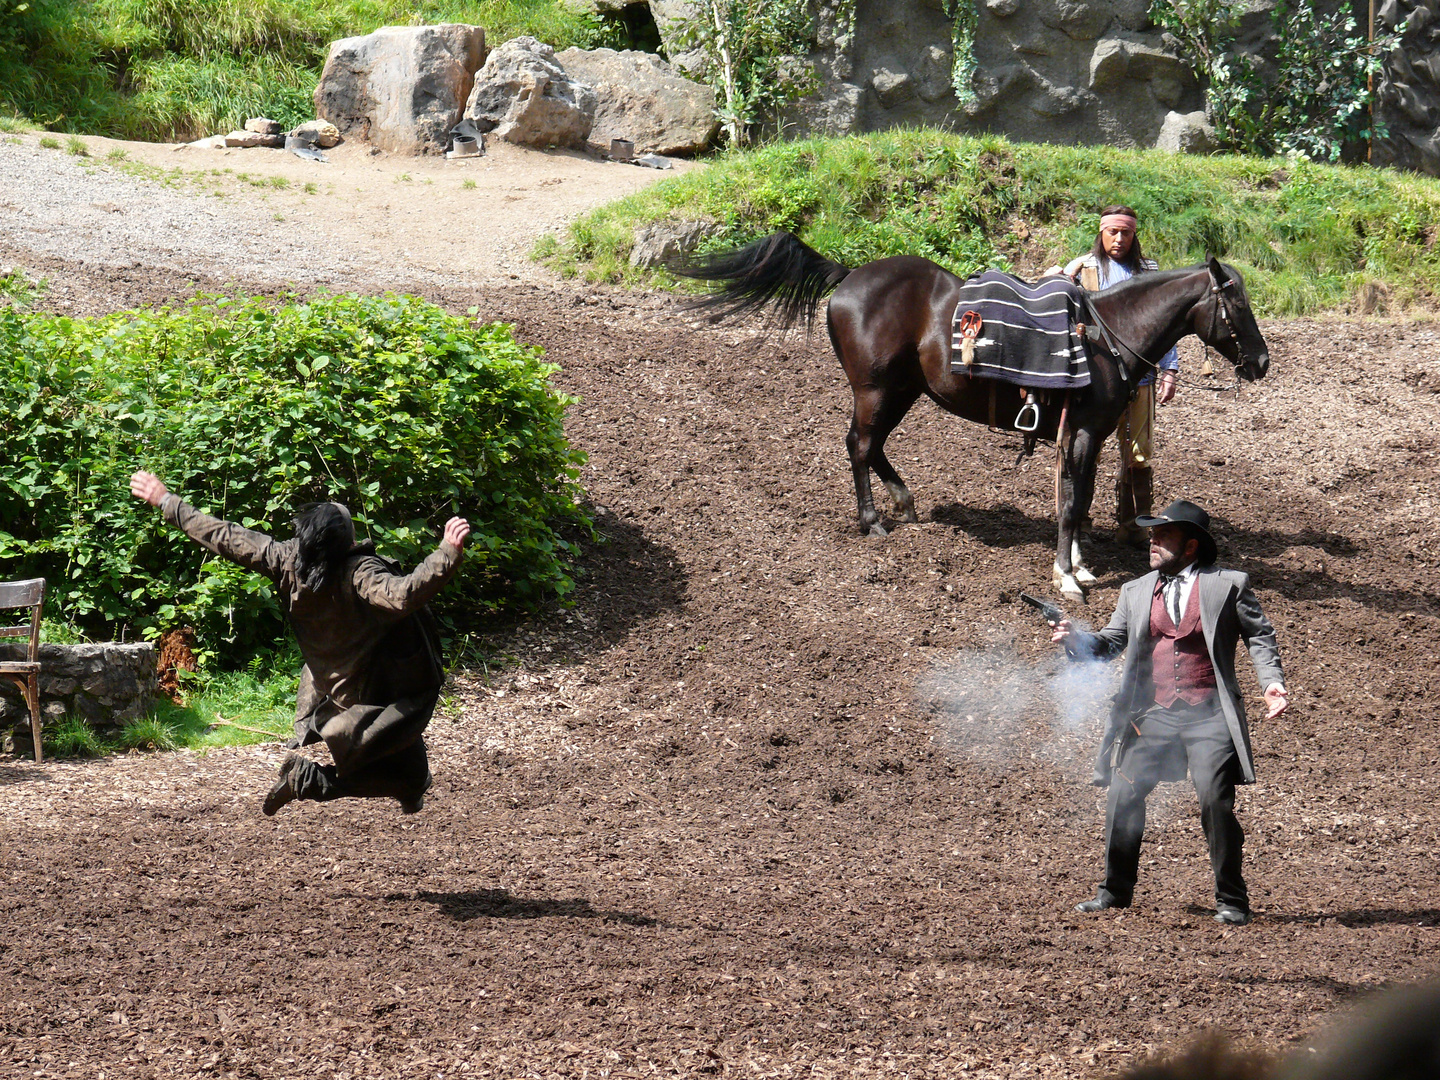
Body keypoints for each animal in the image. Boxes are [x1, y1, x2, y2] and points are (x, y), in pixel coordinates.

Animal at [673, 231, 1272, 601]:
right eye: (1237, 302)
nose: (1262, 362)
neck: (1104, 336)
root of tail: (848, 278)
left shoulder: (1091, 435)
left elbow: (1079, 497)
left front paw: (1078, 563)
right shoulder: (1080, 432)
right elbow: (1071, 502)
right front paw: (1067, 577)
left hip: (902, 392)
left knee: (872, 446)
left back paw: (902, 500)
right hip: (874, 391)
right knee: (859, 445)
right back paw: (872, 521)